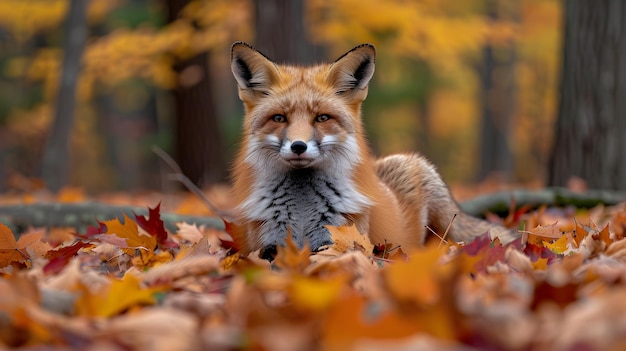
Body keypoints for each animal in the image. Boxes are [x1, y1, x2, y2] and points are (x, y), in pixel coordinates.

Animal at [227, 41, 516, 258]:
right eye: (279, 118)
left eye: (322, 118)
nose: (299, 146)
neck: (302, 213)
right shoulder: (266, 242)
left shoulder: (339, 239)